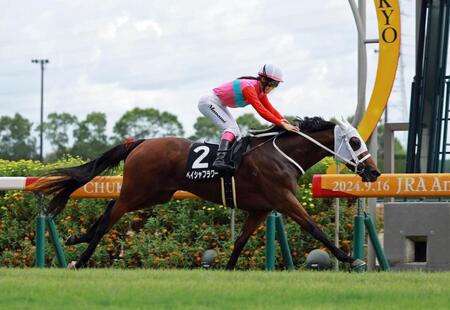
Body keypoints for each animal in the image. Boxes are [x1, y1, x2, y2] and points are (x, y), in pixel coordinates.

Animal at [32, 116, 380, 268]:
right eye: (354, 141)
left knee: (108, 210)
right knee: (109, 218)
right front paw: (351, 258)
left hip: (154, 194)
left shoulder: (261, 208)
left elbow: (240, 241)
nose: (374, 172)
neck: (280, 155)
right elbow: (315, 228)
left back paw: (78, 237)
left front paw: (228, 270)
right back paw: (79, 259)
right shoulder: (284, 200)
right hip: (139, 191)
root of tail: (140, 142)